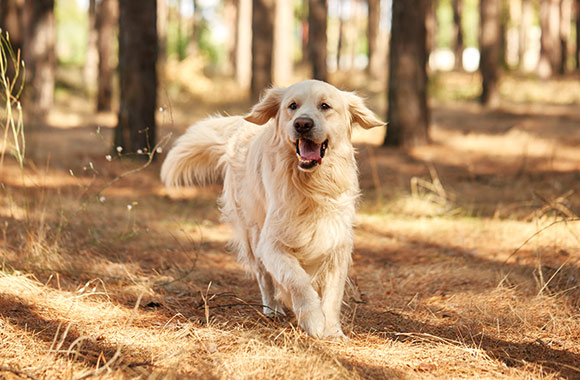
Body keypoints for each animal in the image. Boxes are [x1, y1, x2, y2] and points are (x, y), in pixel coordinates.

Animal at [161, 80, 382, 338]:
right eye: (292, 106)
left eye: (325, 106)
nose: (302, 124)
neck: (310, 186)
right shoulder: (271, 243)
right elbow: (297, 279)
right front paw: (313, 320)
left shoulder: (337, 243)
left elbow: (332, 295)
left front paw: (332, 330)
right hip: (252, 232)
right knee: (263, 276)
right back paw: (272, 308)